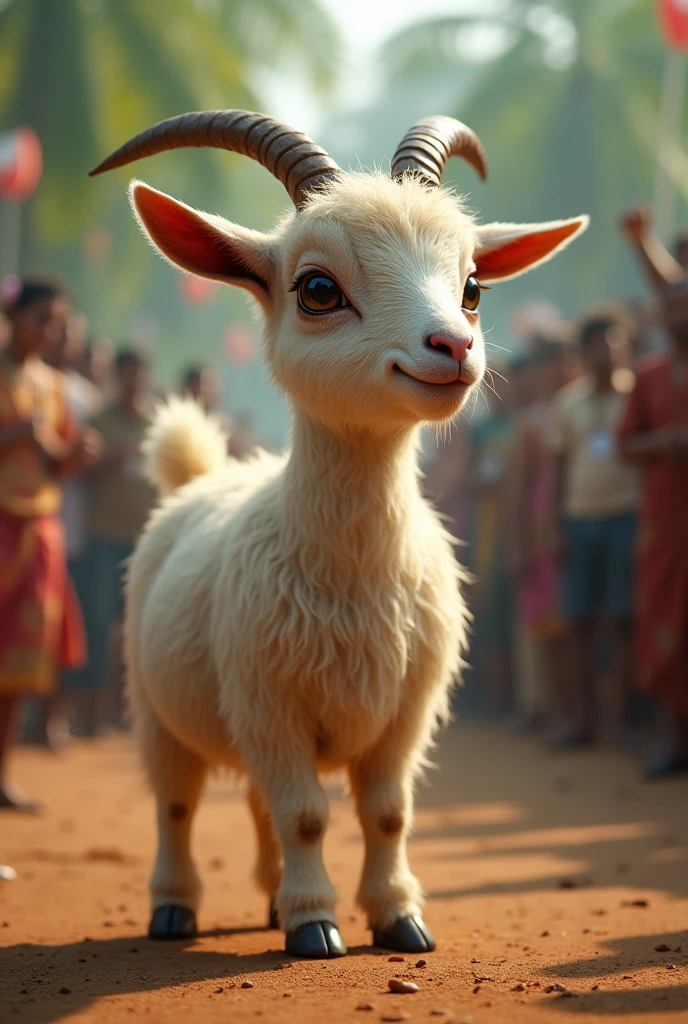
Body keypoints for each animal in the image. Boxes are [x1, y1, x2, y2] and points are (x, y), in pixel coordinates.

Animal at [88, 112, 589, 958]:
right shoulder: (270, 704)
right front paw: (316, 925)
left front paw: (398, 918)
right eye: (317, 289)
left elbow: (385, 813)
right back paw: (175, 907)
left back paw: (267, 897)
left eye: (472, 287)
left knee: (255, 802)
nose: (454, 347)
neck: (351, 572)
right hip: (157, 707)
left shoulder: (406, 710)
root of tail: (199, 475)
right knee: (178, 805)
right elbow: (307, 815)